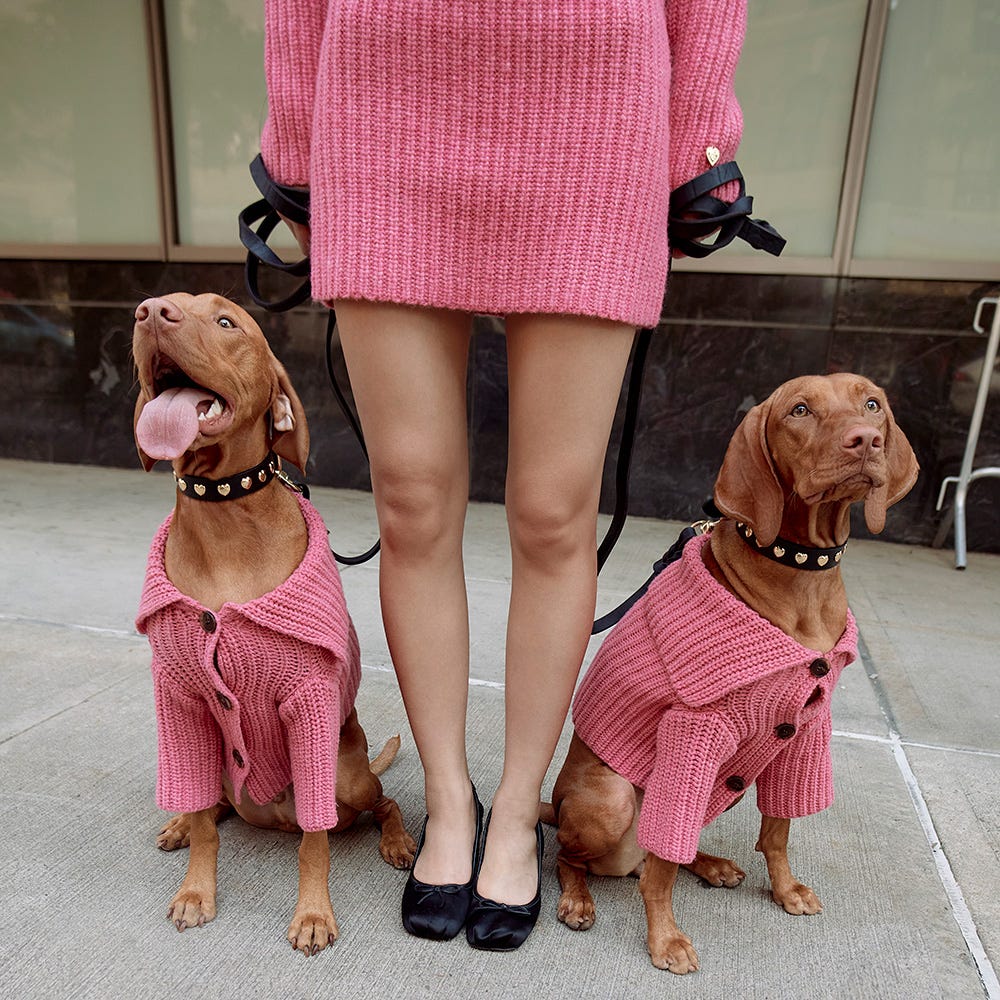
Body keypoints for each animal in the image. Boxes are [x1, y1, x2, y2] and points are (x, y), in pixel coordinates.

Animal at [132, 292, 414, 952]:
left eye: (226, 322)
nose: (150, 311)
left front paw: (312, 914)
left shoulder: (307, 705)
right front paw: (195, 891)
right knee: (212, 807)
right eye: (155, 307)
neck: (224, 520)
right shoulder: (180, 702)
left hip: (345, 777)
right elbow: (207, 828)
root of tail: (271, 814)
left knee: (378, 805)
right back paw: (180, 823)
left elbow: (316, 845)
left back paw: (396, 841)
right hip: (219, 765)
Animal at [548, 372, 920, 972]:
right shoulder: (692, 728)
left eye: (872, 404)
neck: (801, 576)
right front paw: (665, 938)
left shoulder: (805, 729)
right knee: (580, 857)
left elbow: (778, 831)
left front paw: (785, 890)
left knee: (654, 854)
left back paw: (709, 862)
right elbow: (661, 872)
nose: (867, 440)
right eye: (799, 411)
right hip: (613, 801)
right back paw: (578, 899)